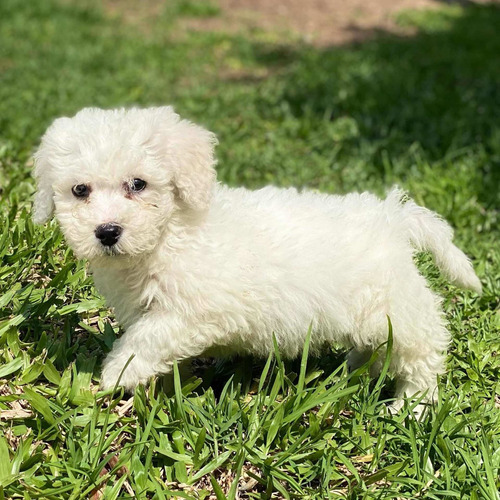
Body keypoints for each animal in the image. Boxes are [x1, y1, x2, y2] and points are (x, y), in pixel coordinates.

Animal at [33, 105, 482, 406]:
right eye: (80, 190)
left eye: (138, 184)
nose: (107, 232)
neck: (171, 233)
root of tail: (394, 217)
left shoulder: (194, 311)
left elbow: (149, 338)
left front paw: (116, 373)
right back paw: (353, 368)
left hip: (398, 310)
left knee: (423, 352)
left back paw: (413, 406)